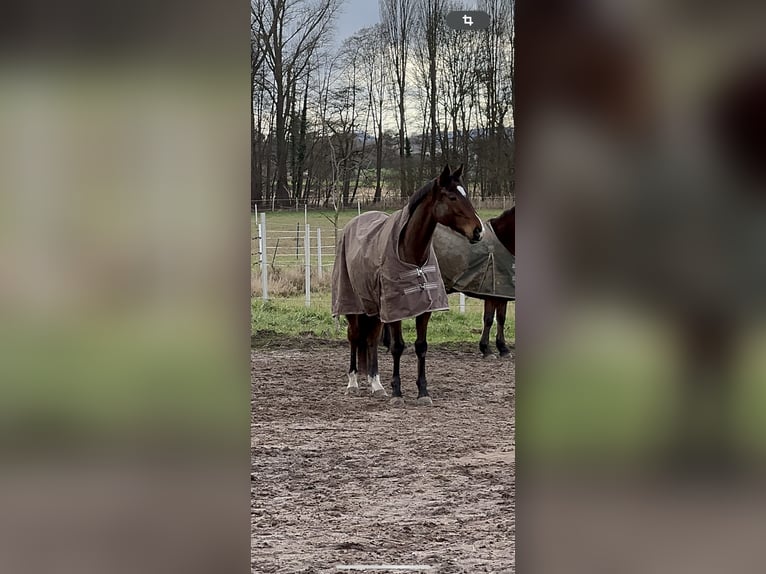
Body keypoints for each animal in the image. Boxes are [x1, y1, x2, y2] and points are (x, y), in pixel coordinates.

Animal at [332, 164, 486, 408]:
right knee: (355, 337)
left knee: (371, 339)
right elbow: (397, 347)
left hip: (376, 309)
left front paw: (423, 392)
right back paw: (353, 383)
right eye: (452, 197)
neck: (412, 254)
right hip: (353, 304)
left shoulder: (424, 309)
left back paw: (376, 384)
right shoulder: (396, 309)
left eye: (467, 195)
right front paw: (397, 393)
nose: (478, 231)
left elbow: (421, 347)